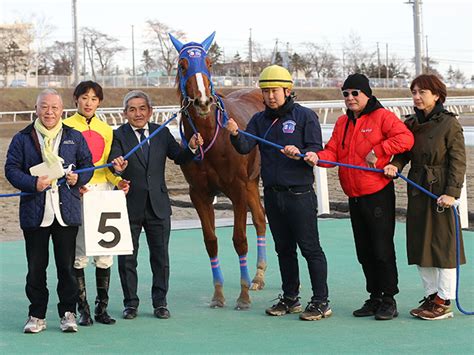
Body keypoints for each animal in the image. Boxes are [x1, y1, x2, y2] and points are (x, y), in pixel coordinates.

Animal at [169, 32, 266, 312]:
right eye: (183, 65)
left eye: (209, 63)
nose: (203, 101)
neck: (213, 135)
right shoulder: (199, 194)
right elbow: (211, 241)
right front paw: (218, 293)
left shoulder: (237, 189)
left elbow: (239, 239)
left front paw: (243, 296)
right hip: (252, 182)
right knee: (260, 219)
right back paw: (258, 275)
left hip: (252, 181)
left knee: (259, 220)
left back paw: (256, 278)